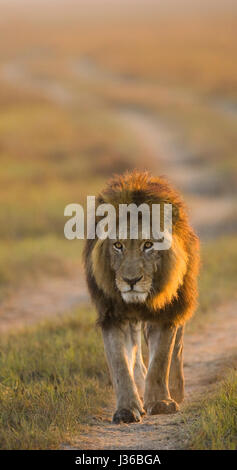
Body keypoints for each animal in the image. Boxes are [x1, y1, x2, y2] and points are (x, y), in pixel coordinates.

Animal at [84, 171, 200, 424]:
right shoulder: (112, 315)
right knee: (136, 355)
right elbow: (120, 364)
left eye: (148, 245)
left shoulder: (167, 313)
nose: (131, 280)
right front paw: (127, 409)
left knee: (177, 347)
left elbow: (161, 359)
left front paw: (161, 402)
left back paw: (175, 390)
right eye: (118, 245)